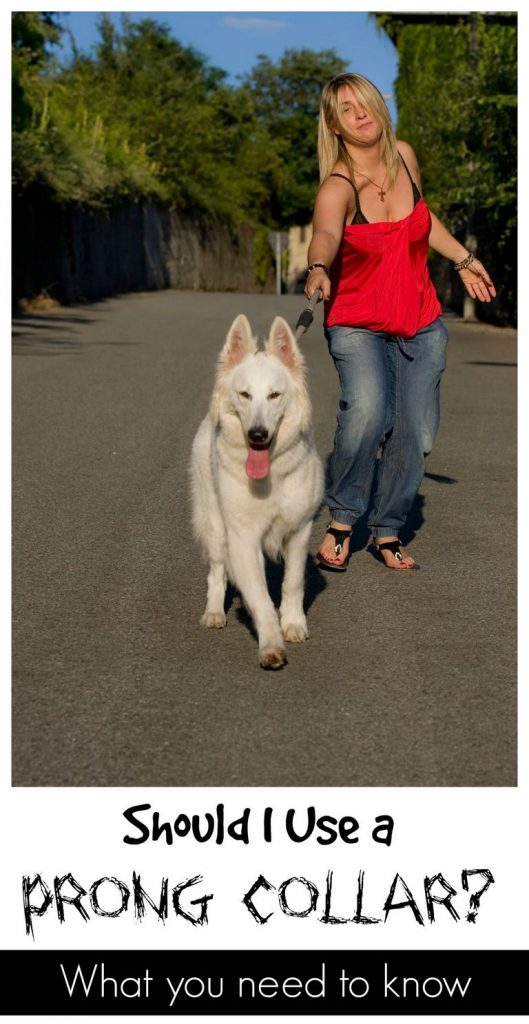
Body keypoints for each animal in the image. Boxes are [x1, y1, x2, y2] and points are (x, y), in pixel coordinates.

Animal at [189, 311, 321, 671]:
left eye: (275, 395)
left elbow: (293, 583)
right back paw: (214, 612)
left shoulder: (299, 531)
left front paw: (293, 623)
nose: (258, 435)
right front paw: (271, 645)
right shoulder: (243, 540)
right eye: (245, 395)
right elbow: (260, 598)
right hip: (216, 528)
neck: (269, 477)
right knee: (217, 574)